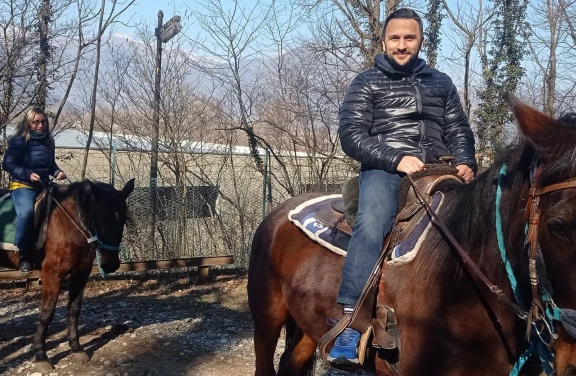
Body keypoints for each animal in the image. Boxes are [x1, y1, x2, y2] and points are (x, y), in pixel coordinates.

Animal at [0, 180, 134, 374]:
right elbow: (47, 312)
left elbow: (74, 309)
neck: (70, 222)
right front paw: (40, 356)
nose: (111, 264)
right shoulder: (53, 272)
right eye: (101, 218)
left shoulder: (81, 271)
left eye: (123, 219)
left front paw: (76, 348)